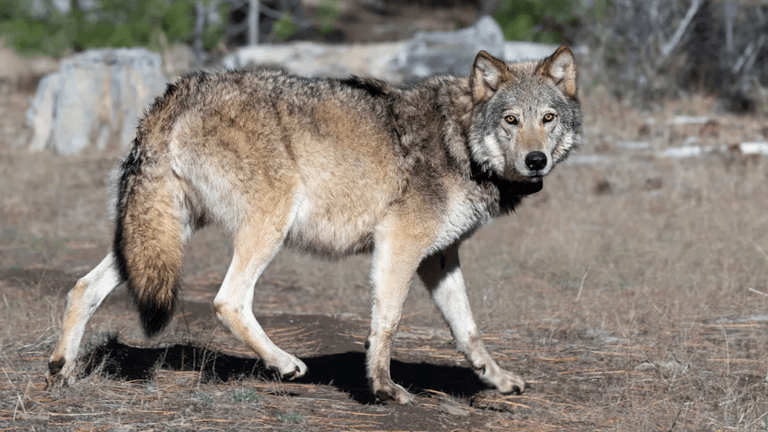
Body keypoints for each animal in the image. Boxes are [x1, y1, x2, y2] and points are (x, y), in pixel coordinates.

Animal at [46, 46, 582, 404]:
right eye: (511, 120)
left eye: (547, 118)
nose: (535, 161)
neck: (462, 144)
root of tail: (180, 90)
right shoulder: (399, 244)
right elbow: (387, 322)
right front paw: (384, 388)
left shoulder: (438, 258)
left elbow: (468, 330)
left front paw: (499, 380)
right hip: (267, 227)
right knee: (227, 301)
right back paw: (285, 365)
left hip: (158, 236)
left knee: (83, 287)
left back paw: (62, 370)